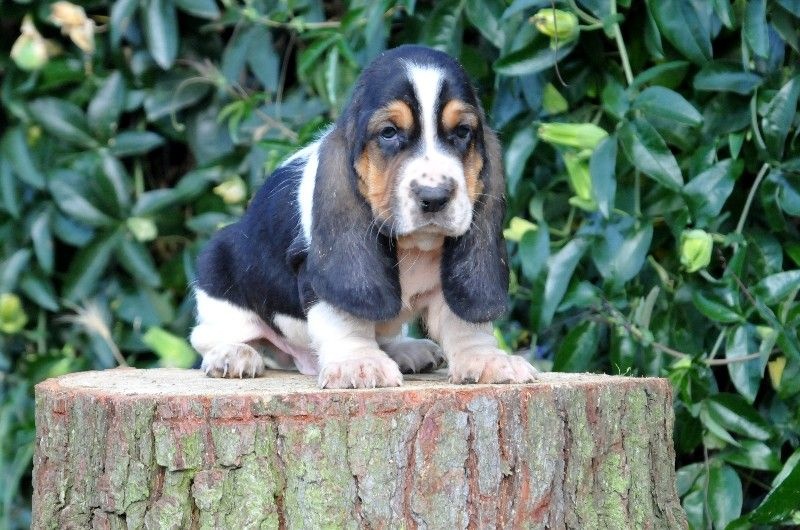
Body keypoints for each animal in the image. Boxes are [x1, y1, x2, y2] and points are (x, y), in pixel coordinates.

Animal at [190, 43, 536, 386]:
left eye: (463, 131)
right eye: (389, 132)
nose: (434, 197)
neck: (413, 247)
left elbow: (464, 323)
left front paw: (487, 359)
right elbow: (346, 320)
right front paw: (358, 363)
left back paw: (406, 351)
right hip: (217, 273)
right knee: (213, 337)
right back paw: (233, 354)